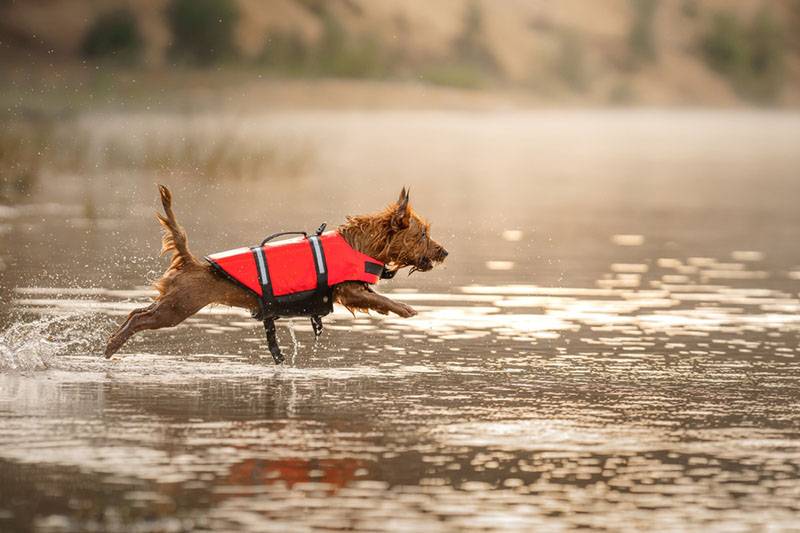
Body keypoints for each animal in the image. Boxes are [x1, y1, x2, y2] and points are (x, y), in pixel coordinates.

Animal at [103, 186, 446, 358]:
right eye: (422, 235)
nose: (443, 252)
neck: (362, 244)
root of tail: (191, 261)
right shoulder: (350, 290)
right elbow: (381, 300)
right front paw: (405, 309)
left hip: (171, 302)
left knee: (136, 311)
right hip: (177, 308)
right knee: (140, 318)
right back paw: (113, 344)